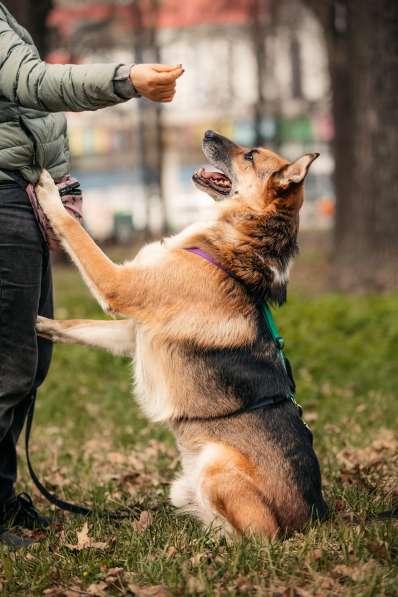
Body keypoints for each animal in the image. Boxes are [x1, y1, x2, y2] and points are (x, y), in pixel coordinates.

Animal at [35, 132, 326, 540]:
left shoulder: (118, 285)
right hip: (182, 485)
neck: (236, 241)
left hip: (216, 465)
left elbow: (76, 232)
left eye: (250, 155)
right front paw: (38, 323)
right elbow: (77, 327)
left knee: (255, 538)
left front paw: (49, 193)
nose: (208, 134)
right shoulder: (134, 331)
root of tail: (315, 518)